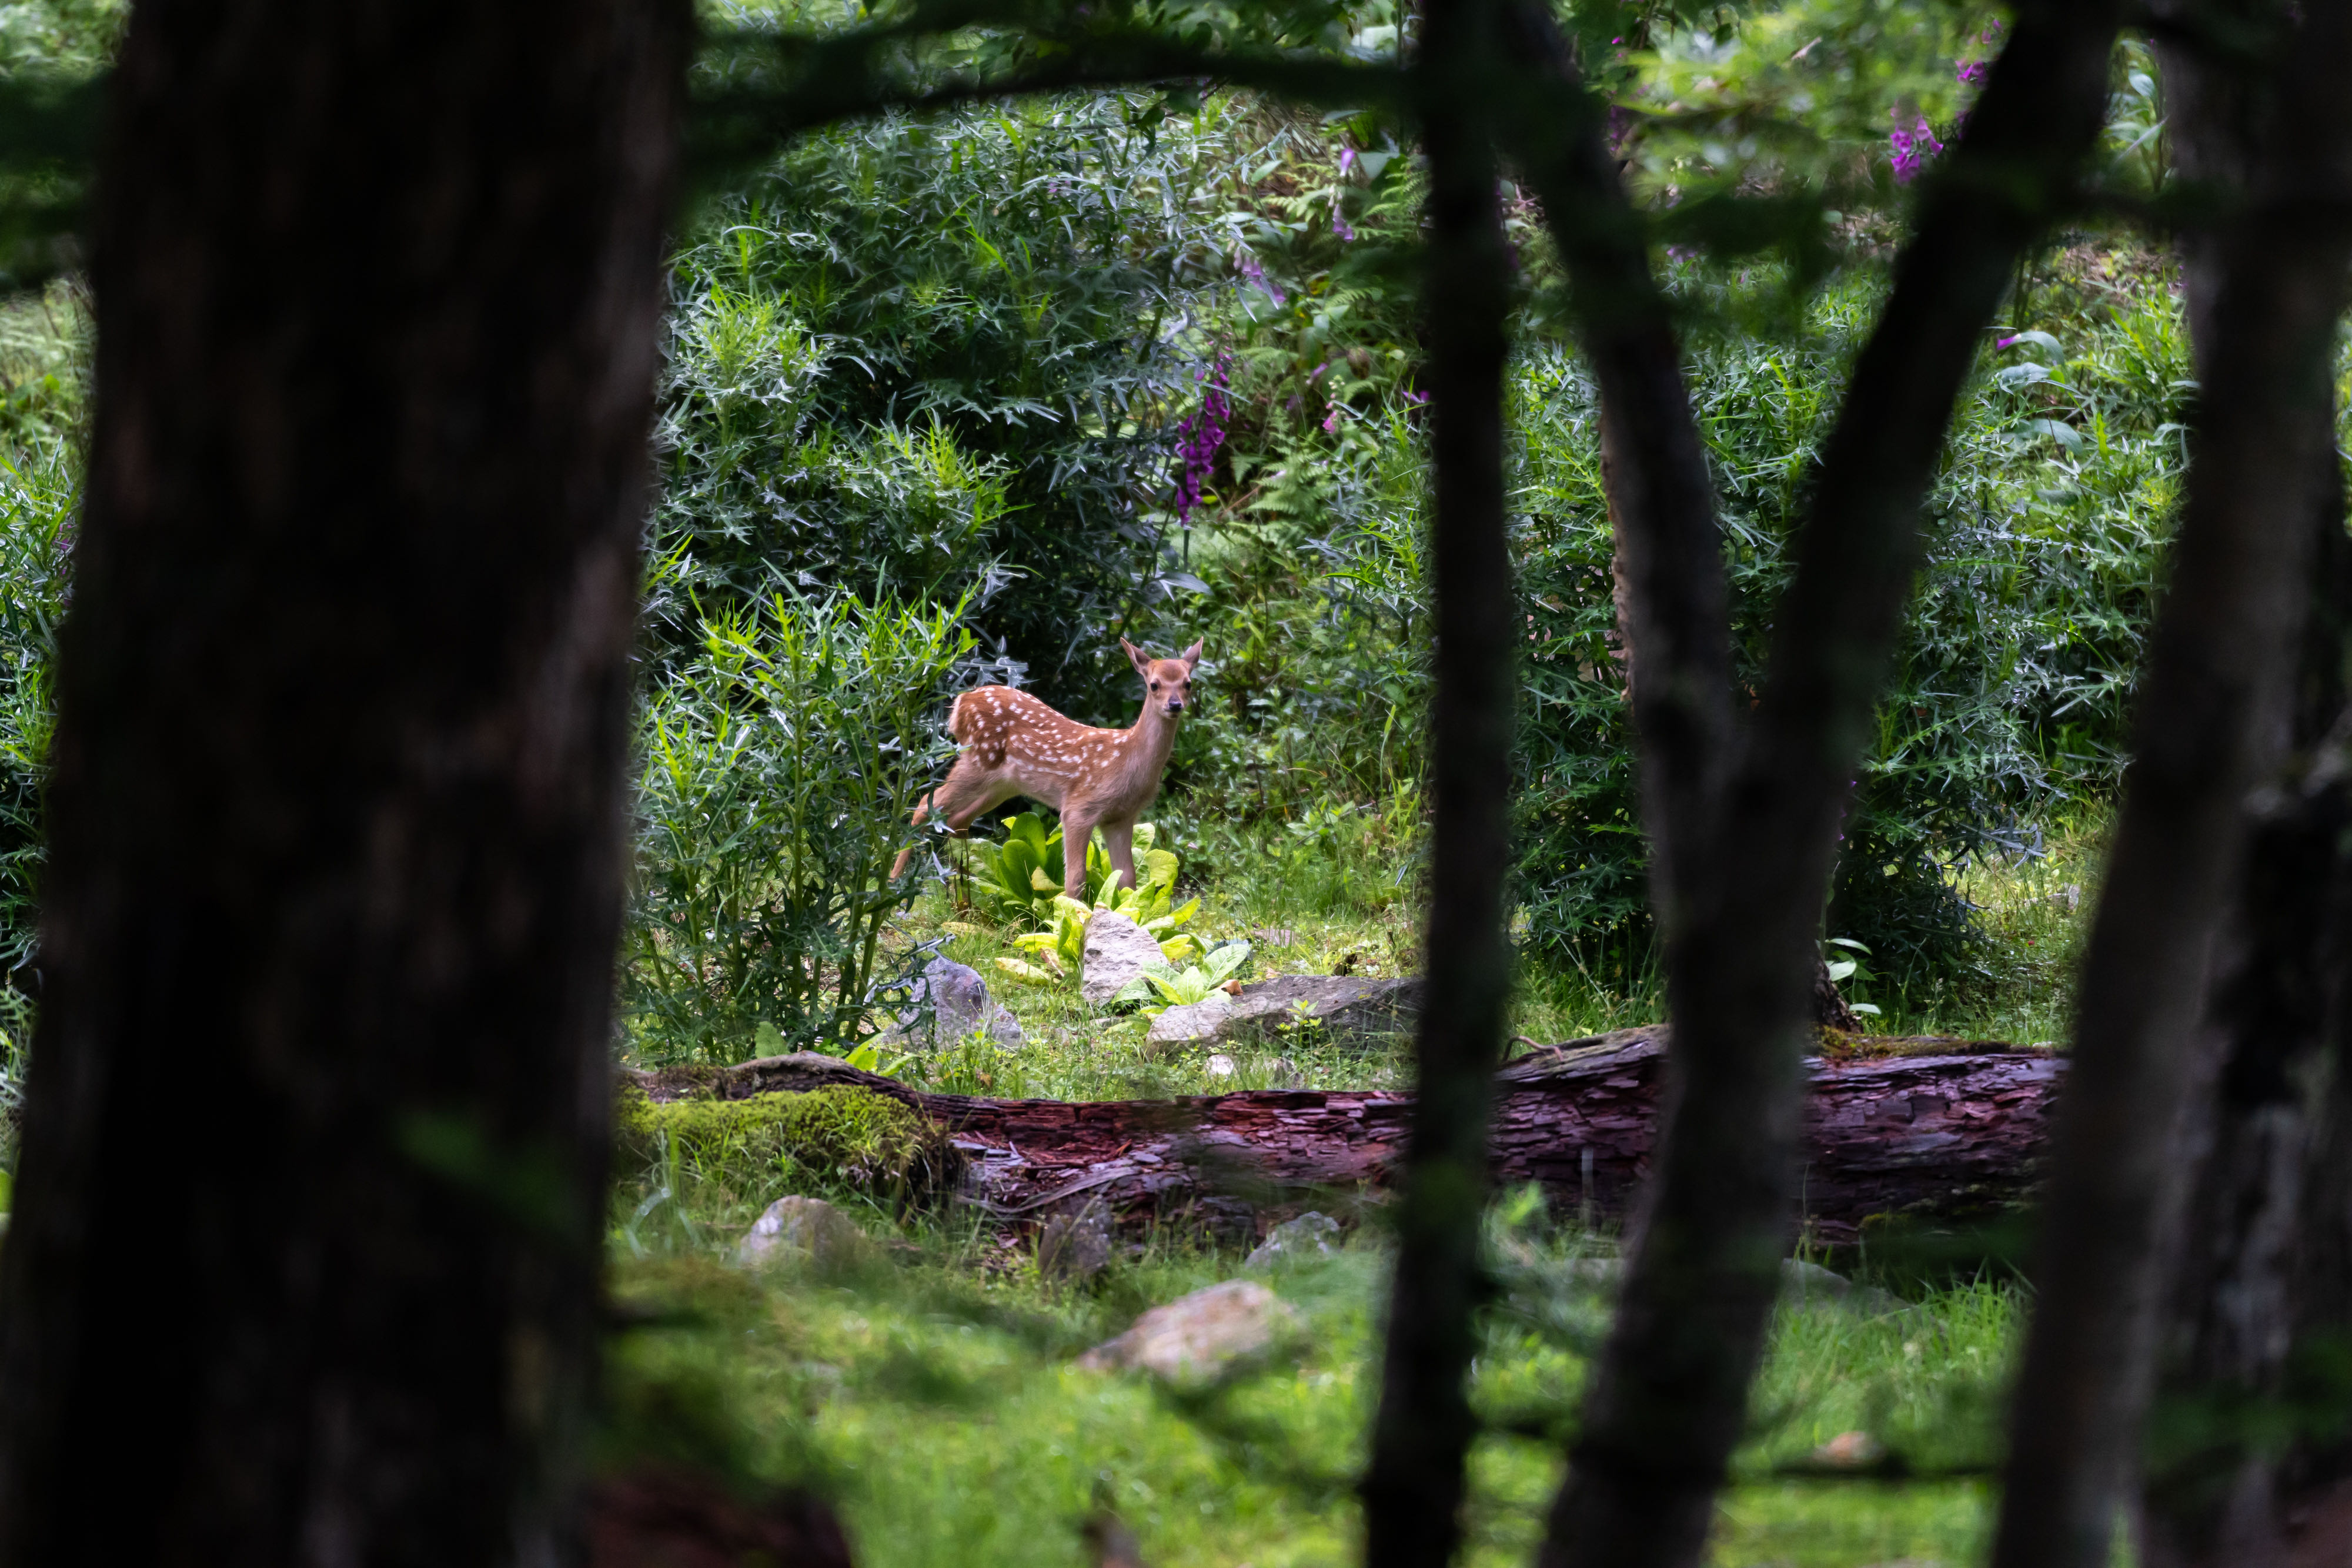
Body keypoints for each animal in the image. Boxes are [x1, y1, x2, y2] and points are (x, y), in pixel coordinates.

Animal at [891, 638, 1204, 901]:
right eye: (1154, 684)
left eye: (1188, 684)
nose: (1175, 704)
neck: (1126, 758)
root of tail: (960, 703)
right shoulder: (1080, 807)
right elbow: (1075, 880)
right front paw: (1075, 919)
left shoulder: (1121, 817)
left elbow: (1127, 880)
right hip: (978, 761)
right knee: (925, 804)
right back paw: (895, 886)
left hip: (1003, 783)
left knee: (958, 820)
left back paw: (965, 901)